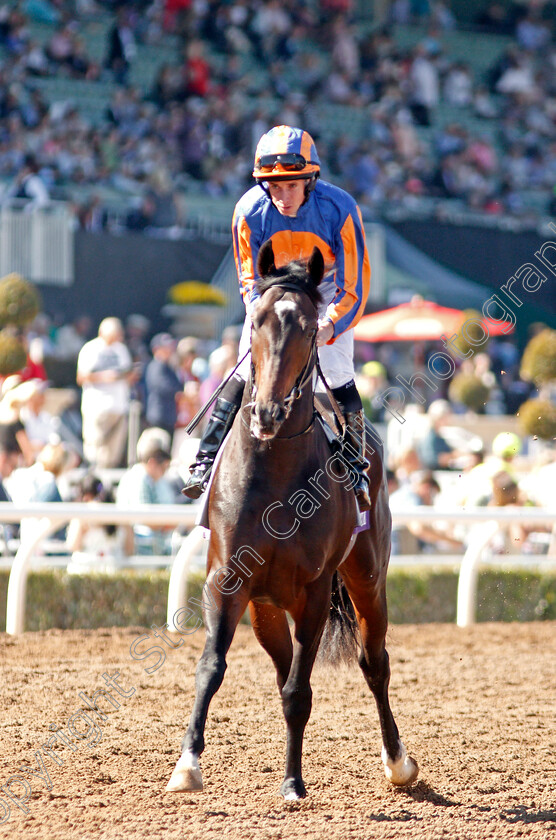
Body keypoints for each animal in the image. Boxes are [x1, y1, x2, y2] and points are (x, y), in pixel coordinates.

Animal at [165, 238, 416, 800]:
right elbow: (213, 667)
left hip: (367, 579)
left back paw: (398, 762)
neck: (275, 472)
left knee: (374, 662)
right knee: (285, 670)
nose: (268, 413)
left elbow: (302, 689)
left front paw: (294, 782)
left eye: (306, 326)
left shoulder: (315, 589)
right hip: (265, 608)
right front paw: (187, 765)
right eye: (256, 320)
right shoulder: (228, 579)